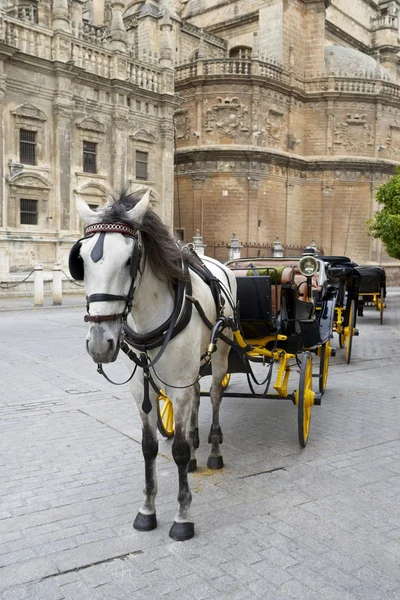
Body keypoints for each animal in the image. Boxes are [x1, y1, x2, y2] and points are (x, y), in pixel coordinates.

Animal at [70, 190, 236, 540]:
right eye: (82, 261)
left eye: (129, 260)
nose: (99, 343)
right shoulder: (140, 388)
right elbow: (149, 447)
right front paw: (147, 510)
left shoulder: (179, 384)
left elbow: (179, 449)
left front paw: (183, 516)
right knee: (197, 398)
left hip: (220, 354)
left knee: (214, 395)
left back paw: (213, 450)